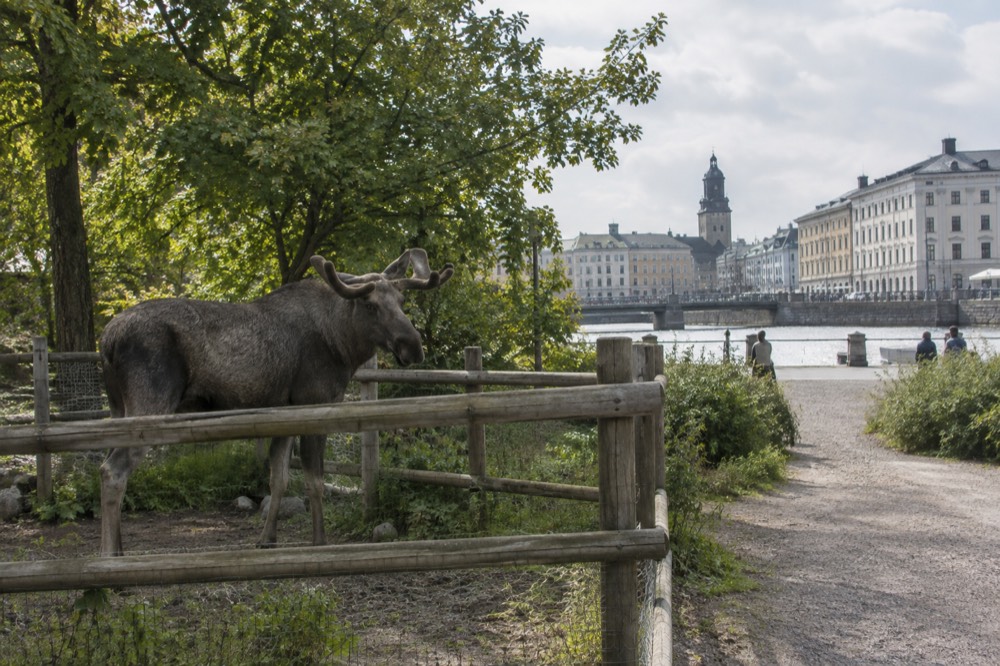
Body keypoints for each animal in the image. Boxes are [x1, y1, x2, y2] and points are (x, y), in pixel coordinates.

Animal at [98, 249, 453, 556]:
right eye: (370, 306)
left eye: (402, 301)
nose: (413, 346)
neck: (343, 346)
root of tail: (106, 341)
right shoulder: (314, 404)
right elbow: (314, 481)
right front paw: (319, 540)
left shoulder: (284, 410)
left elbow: (278, 480)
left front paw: (267, 540)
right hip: (150, 406)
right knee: (112, 470)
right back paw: (111, 557)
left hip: (118, 408)